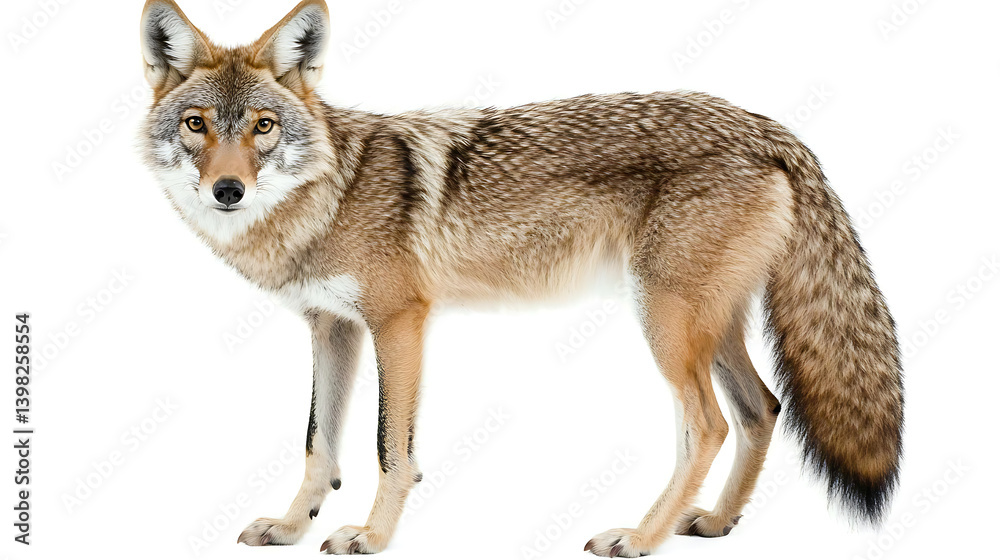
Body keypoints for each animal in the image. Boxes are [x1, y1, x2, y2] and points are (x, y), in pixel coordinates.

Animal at [139, 0, 904, 556]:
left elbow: (391, 449)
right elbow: (317, 443)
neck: (331, 193)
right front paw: (293, 526)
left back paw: (640, 537)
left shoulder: (400, 322)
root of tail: (768, 126)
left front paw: (373, 536)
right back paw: (714, 523)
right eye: (198, 125)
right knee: (762, 410)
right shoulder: (333, 329)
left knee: (709, 427)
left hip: (666, 326)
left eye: (263, 126)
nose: (228, 191)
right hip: (706, 329)